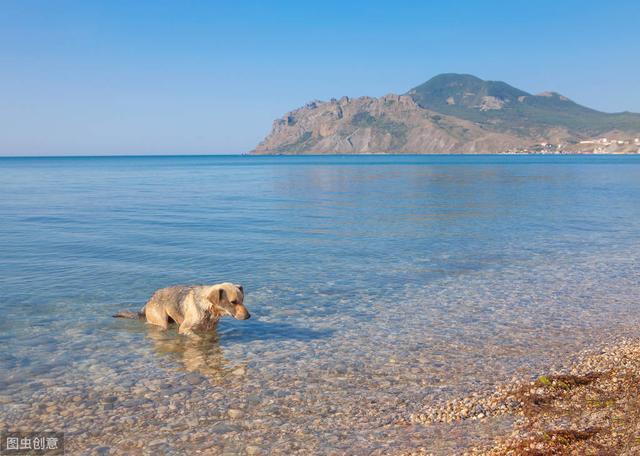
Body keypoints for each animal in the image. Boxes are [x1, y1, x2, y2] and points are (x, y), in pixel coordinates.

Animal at [114, 284, 249, 336]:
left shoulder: (211, 329)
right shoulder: (184, 328)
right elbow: (195, 336)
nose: (249, 316)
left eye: (242, 300)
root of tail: (150, 299)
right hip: (161, 321)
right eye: (233, 302)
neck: (208, 308)